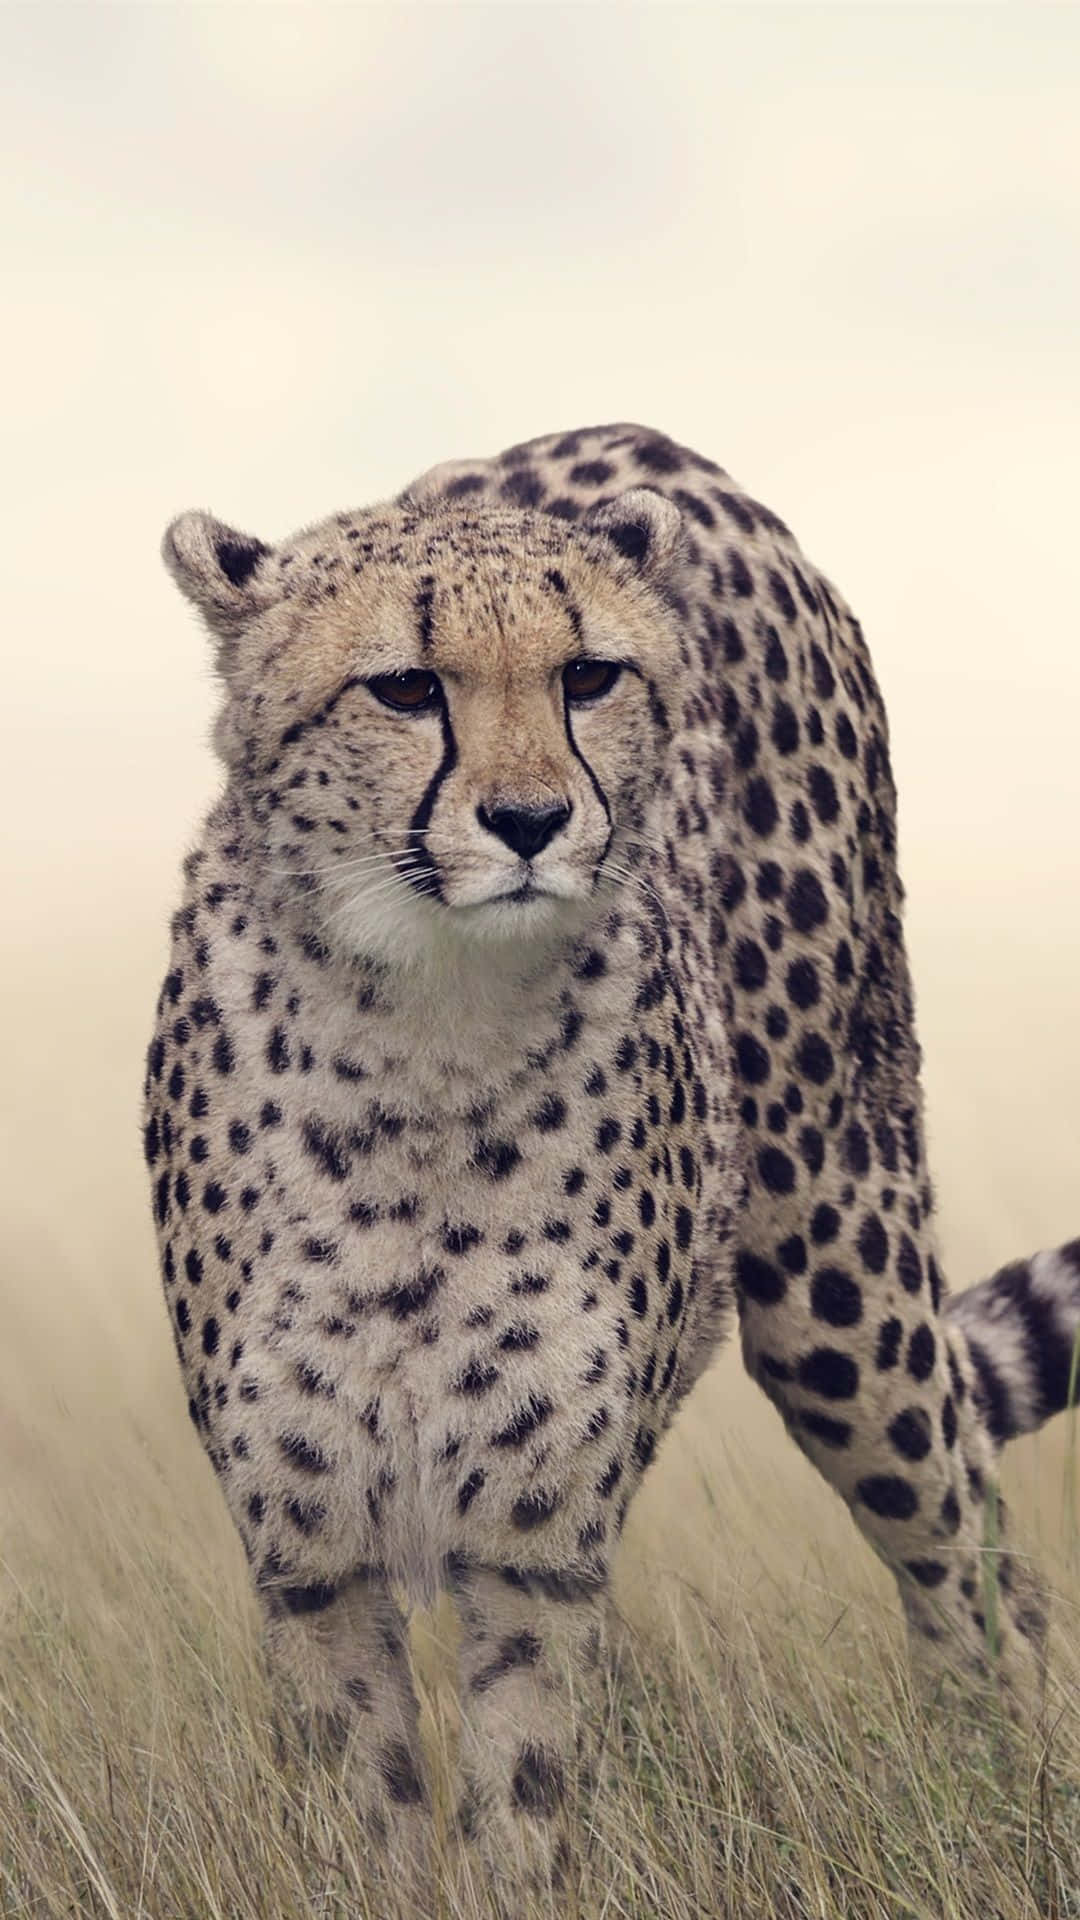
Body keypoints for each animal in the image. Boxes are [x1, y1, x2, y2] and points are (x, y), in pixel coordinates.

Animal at [144, 421, 1080, 1908]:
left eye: (588, 675)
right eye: (404, 687)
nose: (531, 820)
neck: (428, 1033)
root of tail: (651, 443)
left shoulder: (537, 1554)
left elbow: (519, 1812)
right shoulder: (313, 1558)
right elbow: (375, 1820)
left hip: (838, 1274)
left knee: (967, 1549)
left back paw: (991, 1807)